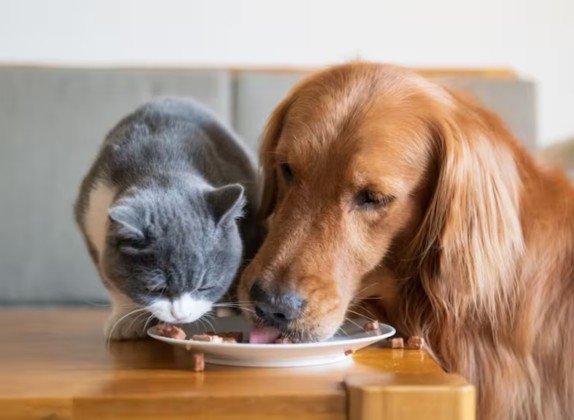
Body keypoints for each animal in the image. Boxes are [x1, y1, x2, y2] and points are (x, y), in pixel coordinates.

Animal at [76, 97, 264, 340]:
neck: (159, 164)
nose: (180, 316)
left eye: (204, 287)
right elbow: (111, 278)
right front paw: (126, 320)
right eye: (156, 289)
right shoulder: (91, 212)